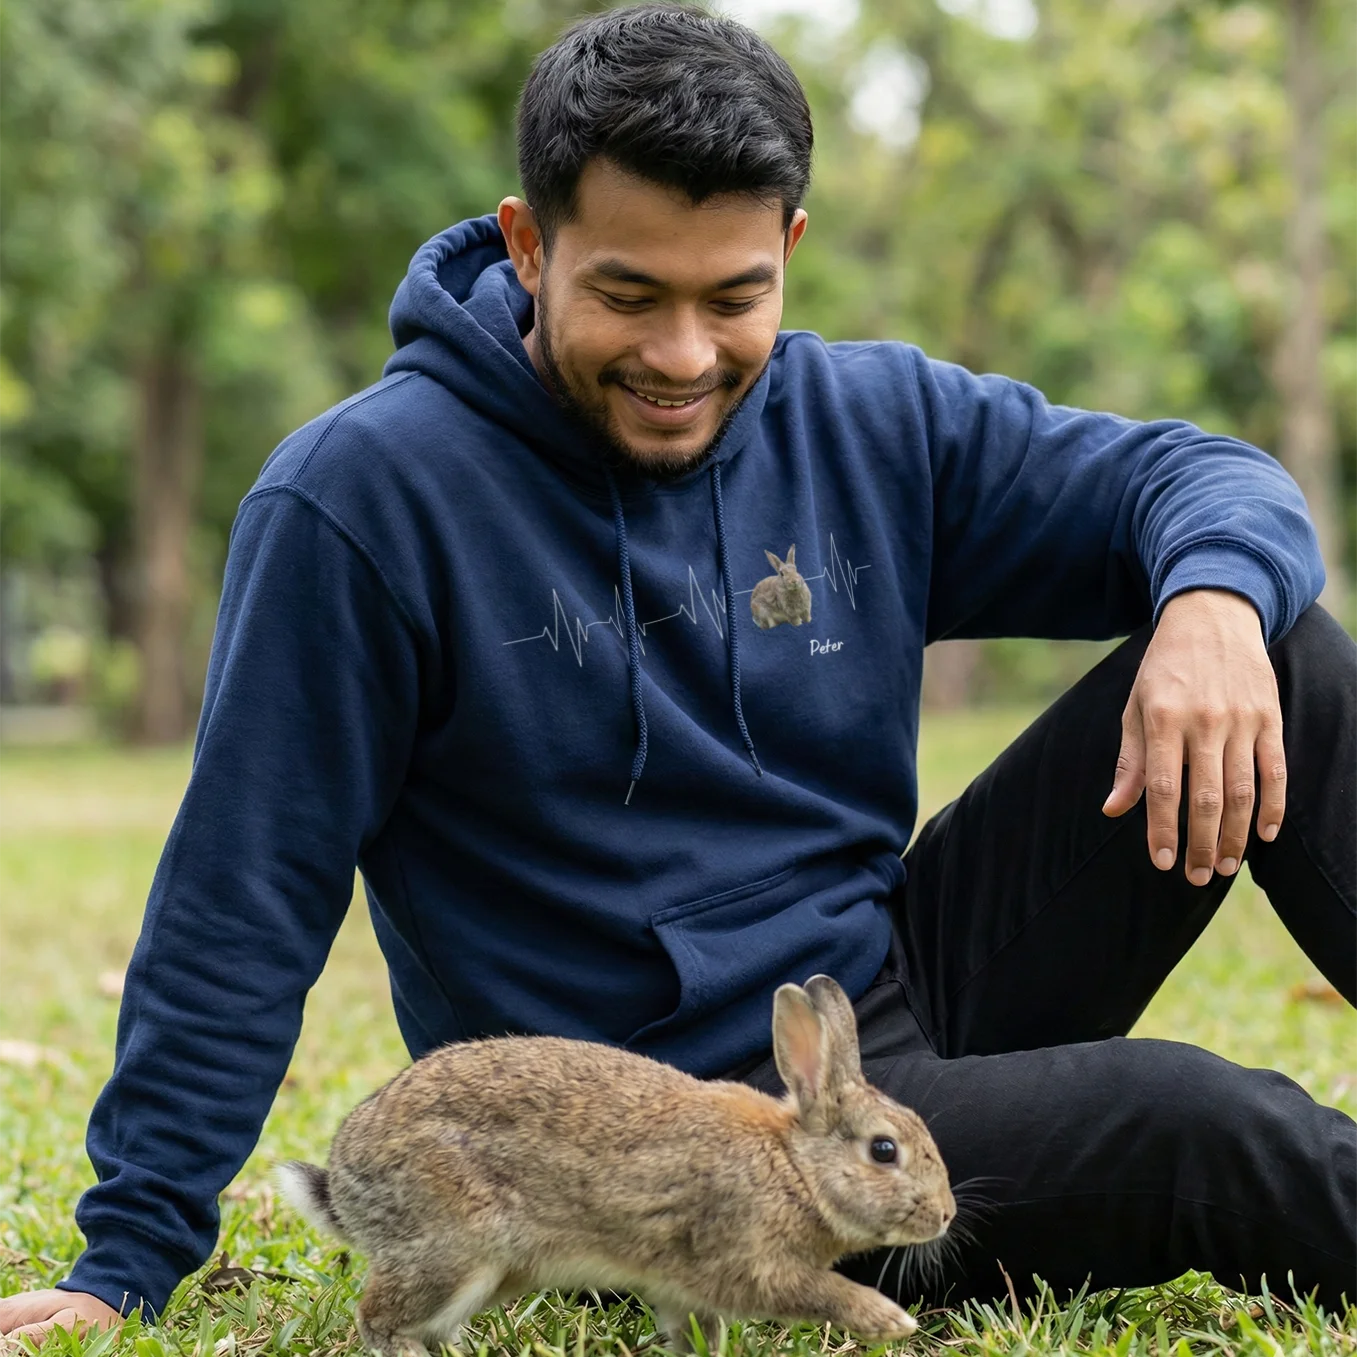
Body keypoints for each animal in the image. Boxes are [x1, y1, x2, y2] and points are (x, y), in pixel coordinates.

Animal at [278, 974, 954, 1357]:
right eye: (884, 1150)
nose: (945, 1215)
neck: (796, 1169)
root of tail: (345, 1181)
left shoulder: (686, 1289)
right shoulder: (751, 1261)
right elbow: (819, 1291)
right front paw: (891, 1322)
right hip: (454, 1250)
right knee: (379, 1320)